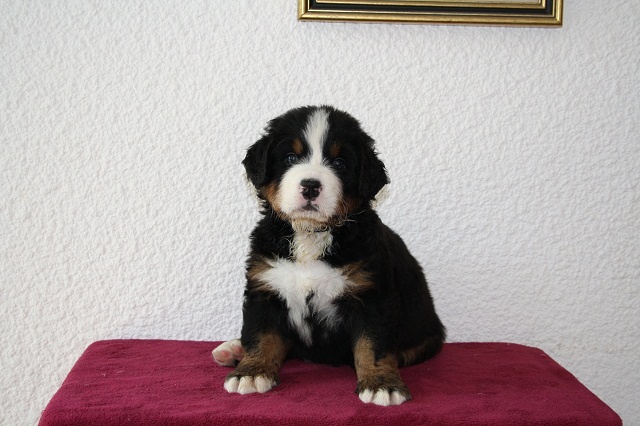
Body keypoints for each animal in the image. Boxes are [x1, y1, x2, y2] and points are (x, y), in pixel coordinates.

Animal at [212, 106, 445, 406]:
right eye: (290, 157)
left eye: (340, 163)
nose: (311, 186)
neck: (311, 235)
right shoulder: (265, 286)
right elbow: (260, 334)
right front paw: (251, 373)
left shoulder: (373, 295)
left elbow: (374, 346)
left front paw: (381, 384)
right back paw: (233, 350)